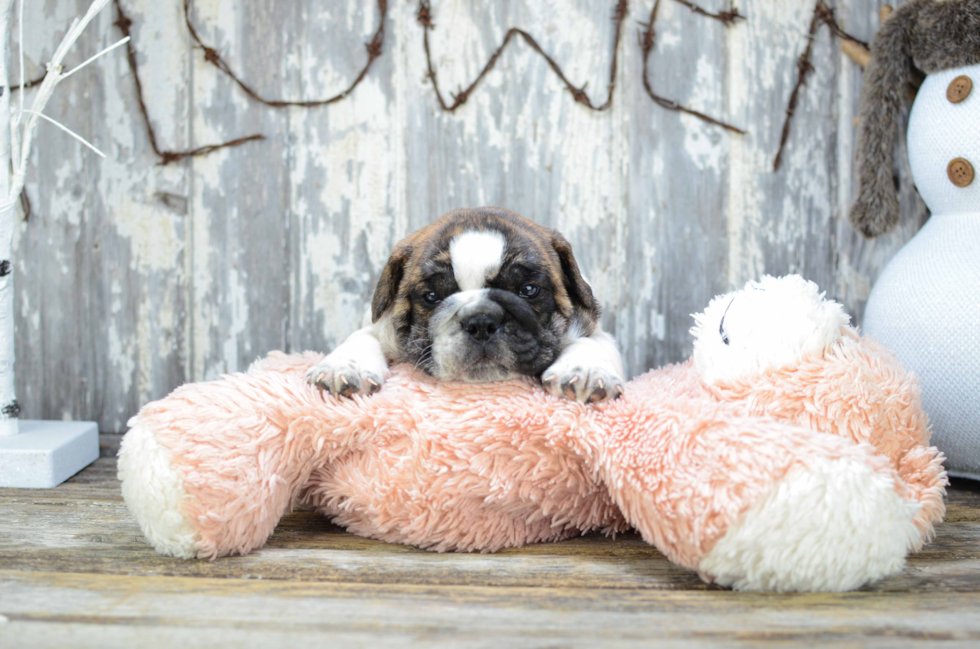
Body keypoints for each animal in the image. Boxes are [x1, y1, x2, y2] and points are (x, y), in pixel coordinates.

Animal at [306, 206, 624, 400]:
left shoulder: (593, 329)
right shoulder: (379, 327)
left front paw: (584, 371)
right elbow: (361, 338)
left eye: (528, 290)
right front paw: (344, 367)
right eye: (431, 297)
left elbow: (589, 343)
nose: (481, 321)